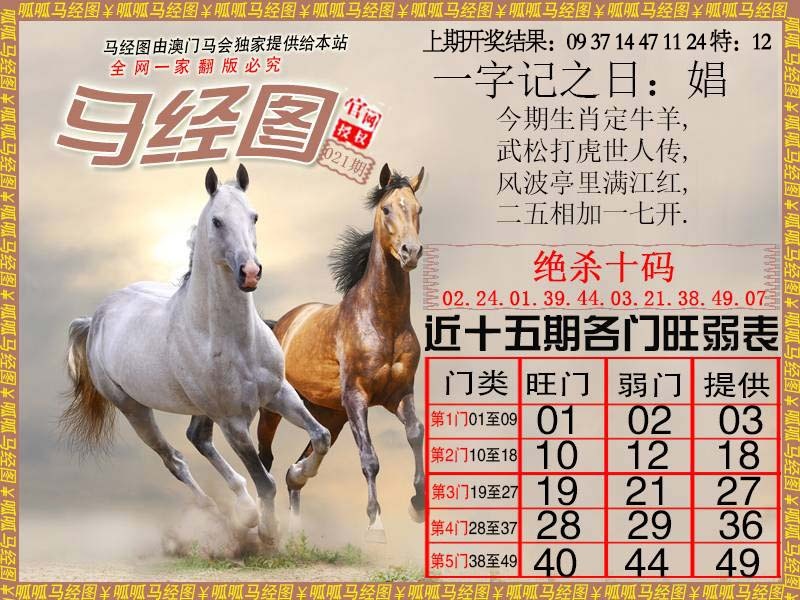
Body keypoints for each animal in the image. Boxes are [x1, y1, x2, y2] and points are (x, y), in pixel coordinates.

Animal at [63, 165, 331, 545]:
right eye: (217, 221)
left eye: (254, 216)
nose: (250, 272)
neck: (234, 340)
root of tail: (96, 317)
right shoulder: (233, 422)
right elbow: (265, 481)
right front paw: (268, 531)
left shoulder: (279, 393)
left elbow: (320, 436)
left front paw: (298, 474)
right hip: (135, 409)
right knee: (174, 459)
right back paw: (225, 516)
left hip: (201, 409)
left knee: (198, 438)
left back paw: (243, 510)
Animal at [256, 163, 425, 542]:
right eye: (386, 209)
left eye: (418, 209)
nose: (410, 252)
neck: (382, 321)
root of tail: (280, 324)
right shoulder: (357, 398)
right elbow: (370, 458)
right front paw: (376, 524)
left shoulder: (399, 395)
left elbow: (415, 434)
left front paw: (417, 505)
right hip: (275, 409)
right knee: (265, 458)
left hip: (329, 413)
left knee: (299, 465)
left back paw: (297, 511)